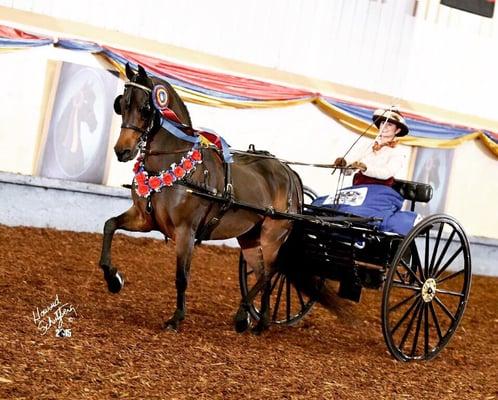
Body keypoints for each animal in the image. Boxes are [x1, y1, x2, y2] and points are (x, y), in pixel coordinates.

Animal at [98, 64, 304, 332]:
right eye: (121, 104)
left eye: (145, 108)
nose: (122, 151)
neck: (172, 165)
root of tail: (289, 172)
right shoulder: (144, 218)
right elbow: (110, 225)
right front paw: (113, 278)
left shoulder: (186, 231)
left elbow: (181, 276)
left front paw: (176, 318)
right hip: (249, 236)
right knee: (262, 274)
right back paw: (256, 320)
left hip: (272, 235)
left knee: (271, 272)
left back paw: (253, 318)